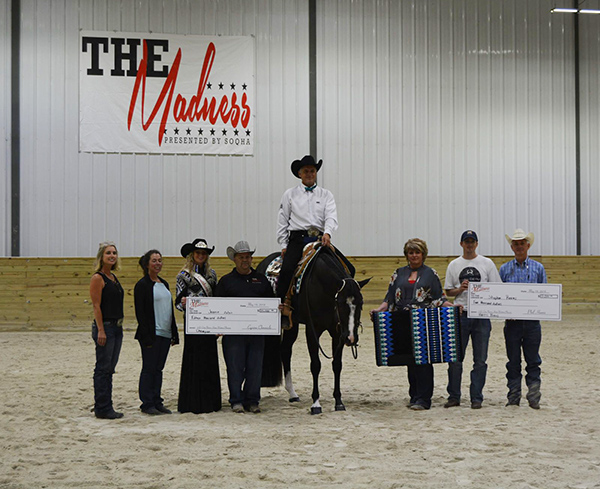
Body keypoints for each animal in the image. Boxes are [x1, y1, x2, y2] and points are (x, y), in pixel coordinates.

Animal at [258, 248, 370, 412]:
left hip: (293, 324)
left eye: (361, 303)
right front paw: (316, 403)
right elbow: (316, 365)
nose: (351, 338)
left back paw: (293, 394)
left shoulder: (337, 333)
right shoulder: (312, 330)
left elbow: (337, 365)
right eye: (340, 303)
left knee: (285, 350)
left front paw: (339, 402)